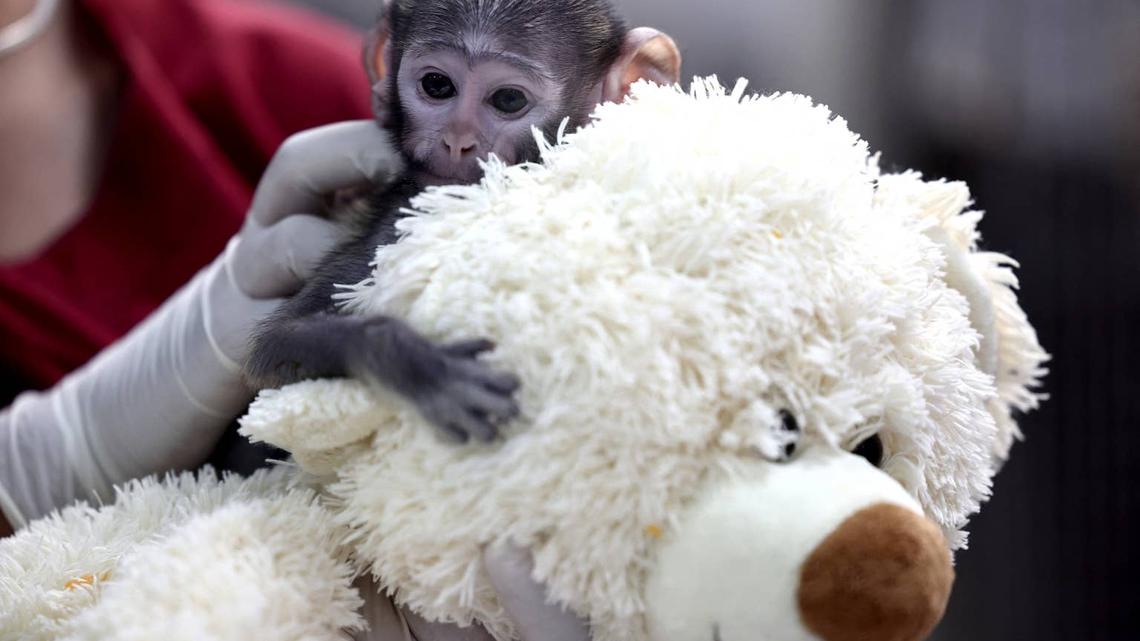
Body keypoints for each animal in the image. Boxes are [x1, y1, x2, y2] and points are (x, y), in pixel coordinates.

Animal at [243, 0, 681, 444]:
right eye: (437, 85)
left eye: (508, 99)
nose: (456, 141)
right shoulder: (393, 223)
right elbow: (272, 346)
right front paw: (422, 368)